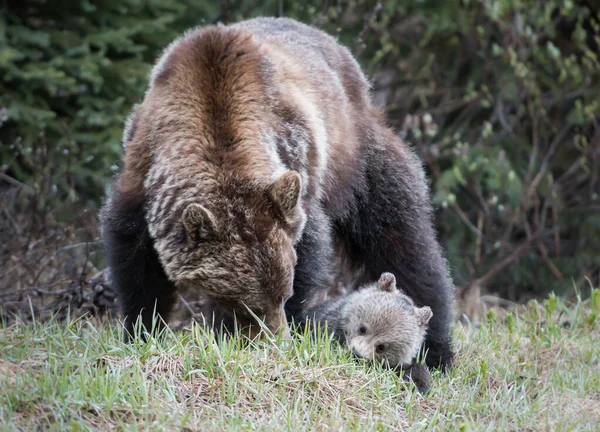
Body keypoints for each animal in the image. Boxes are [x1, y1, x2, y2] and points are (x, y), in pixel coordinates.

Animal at [101, 16, 454, 368]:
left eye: (283, 294)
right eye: (248, 304)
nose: (276, 337)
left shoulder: (296, 167)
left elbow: (309, 249)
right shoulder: (143, 178)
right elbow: (136, 265)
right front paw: (142, 330)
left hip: (359, 161)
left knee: (402, 241)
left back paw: (435, 349)